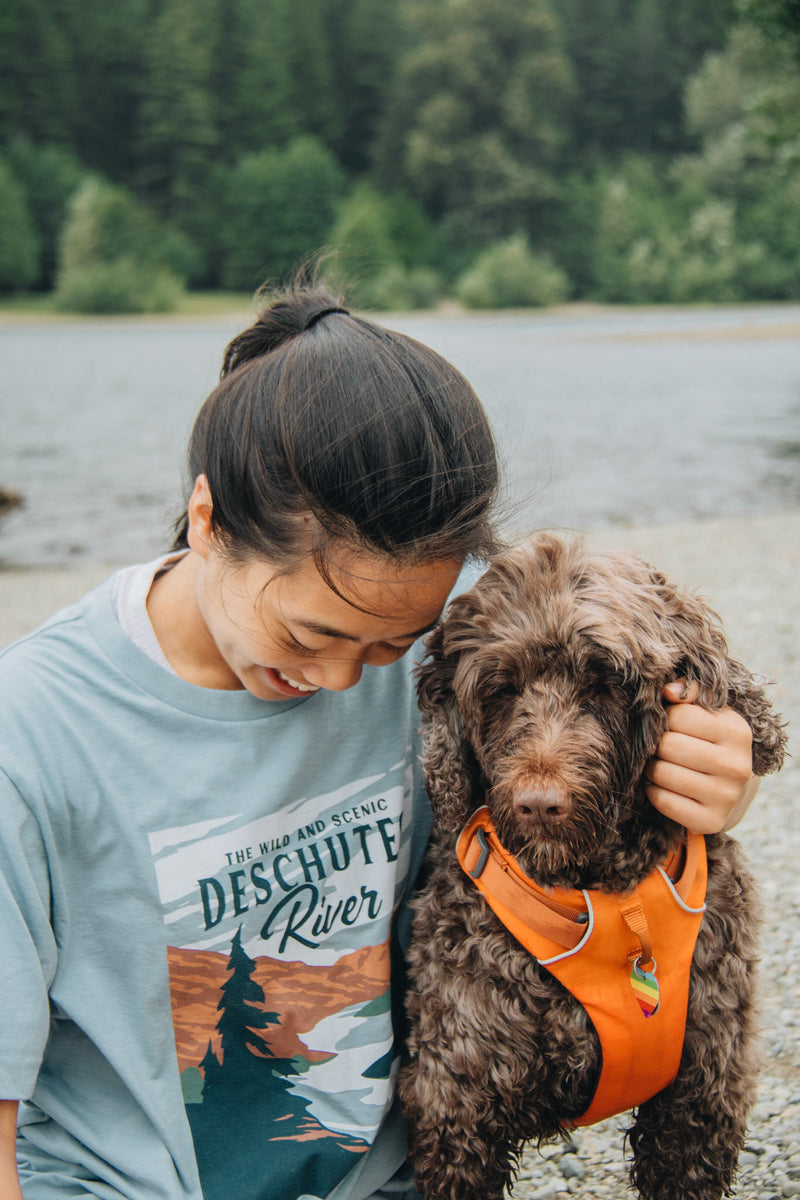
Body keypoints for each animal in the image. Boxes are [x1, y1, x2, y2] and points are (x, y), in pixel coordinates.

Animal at [398, 535, 786, 1200]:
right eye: (501, 690)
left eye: (604, 683)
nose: (539, 803)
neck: (602, 896)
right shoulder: (457, 1108)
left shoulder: (701, 1098)